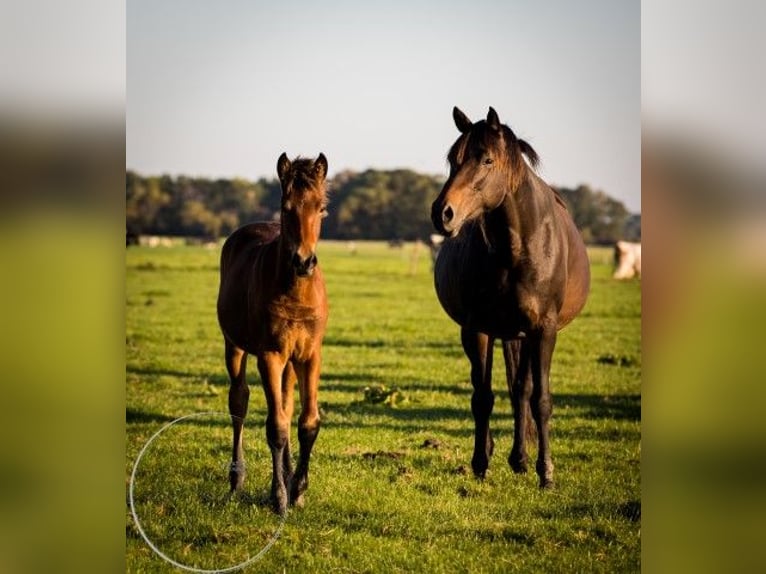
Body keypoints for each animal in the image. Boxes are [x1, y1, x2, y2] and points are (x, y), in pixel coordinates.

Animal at [216, 153, 330, 516]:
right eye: (286, 207)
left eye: (321, 208)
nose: (304, 261)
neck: (295, 290)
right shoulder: (270, 355)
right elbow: (275, 427)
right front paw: (279, 498)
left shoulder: (309, 355)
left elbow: (307, 422)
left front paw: (298, 489)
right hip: (235, 346)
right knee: (239, 401)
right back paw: (237, 480)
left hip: (291, 362)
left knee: (286, 404)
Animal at [432, 106, 592, 488]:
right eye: (452, 159)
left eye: (487, 159)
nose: (443, 213)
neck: (517, 248)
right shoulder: (477, 330)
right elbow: (482, 397)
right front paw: (479, 463)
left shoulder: (543, 330)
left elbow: (540, 399)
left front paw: (546, 472)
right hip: (508, 334)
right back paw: (510, 456)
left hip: (524, 334)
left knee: (522, 391)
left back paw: (522, 458)